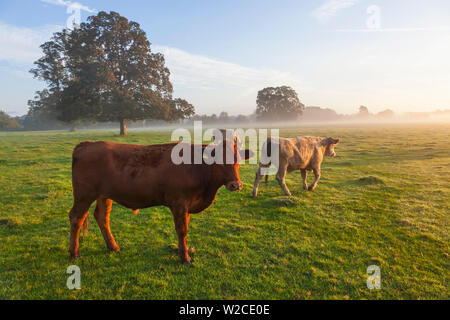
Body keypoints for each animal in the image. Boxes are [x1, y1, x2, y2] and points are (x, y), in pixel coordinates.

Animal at [69, 139, 253, 264]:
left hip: (104, 195)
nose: (236, 185)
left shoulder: (187, 205)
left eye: (238, 159)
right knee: (76, 218)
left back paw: (113, 247)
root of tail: (86, 144)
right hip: (84, 195)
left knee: (102, 217)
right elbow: (182, 230)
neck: (196, 167)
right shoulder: (179, 203)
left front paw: (184, 252)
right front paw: (185, 258)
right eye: (219, 160)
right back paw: (74, 252)